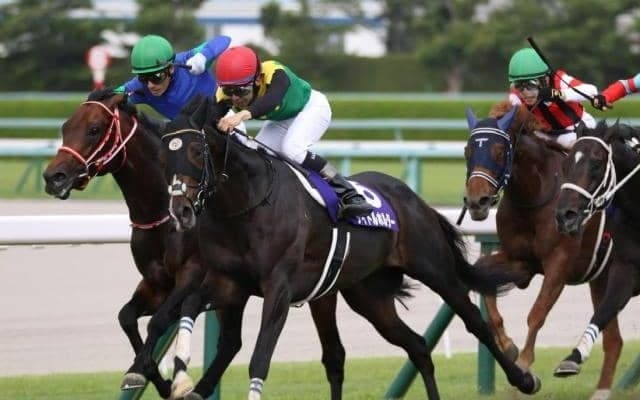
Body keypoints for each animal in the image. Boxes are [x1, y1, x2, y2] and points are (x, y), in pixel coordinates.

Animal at [41, 89, 203, 398]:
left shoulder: (191, 277)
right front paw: (146, 375)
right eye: (65, 127)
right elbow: (126, 317)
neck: (163, 213)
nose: (53, 177)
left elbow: (158, 321)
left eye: (94, 129)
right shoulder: (155, 283)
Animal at [149, 96, 541, 400]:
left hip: (434, 268)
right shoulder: (229, 283)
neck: (246, 203)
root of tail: (414, 199)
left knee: (473, 320)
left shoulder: (279, 289)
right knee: (416, 345)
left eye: (196, 150)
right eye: (165, 156)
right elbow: (188, 305)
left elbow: (260, 358)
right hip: (369, 295)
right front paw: (181, 379)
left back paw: (523, 378)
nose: (180, 210)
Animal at [463, 101, 621, 400]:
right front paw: (509, 346)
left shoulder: (559, 263)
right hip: (602, 278)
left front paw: (525, 366)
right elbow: (483, 281)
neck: (535, 195)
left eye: (499, 151)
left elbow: (536, 313)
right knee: (614, 340)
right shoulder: (520, 261)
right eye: (467, 151)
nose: (477, 201)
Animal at [555, 120, 640, 399]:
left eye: (596, 163)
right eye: (566, 163)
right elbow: (604, 310)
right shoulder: (626, 268)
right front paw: (573, 358)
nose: (565, 216)